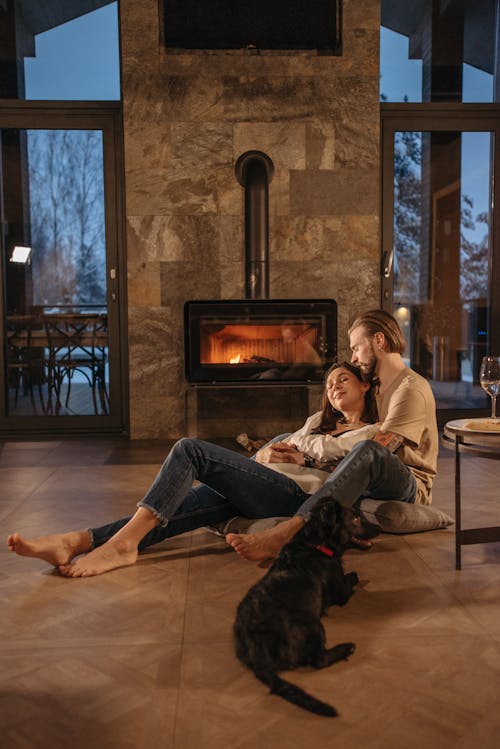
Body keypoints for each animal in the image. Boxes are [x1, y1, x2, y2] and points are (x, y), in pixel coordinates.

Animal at [234, 500, 378, 716]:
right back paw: (345, 648)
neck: (315, 543)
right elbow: (352, 578)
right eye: (354, 517)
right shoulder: (340, 589)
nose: (379, 528)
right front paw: (357, 577)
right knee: (318, 660)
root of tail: (256, 646)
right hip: (312, 624)